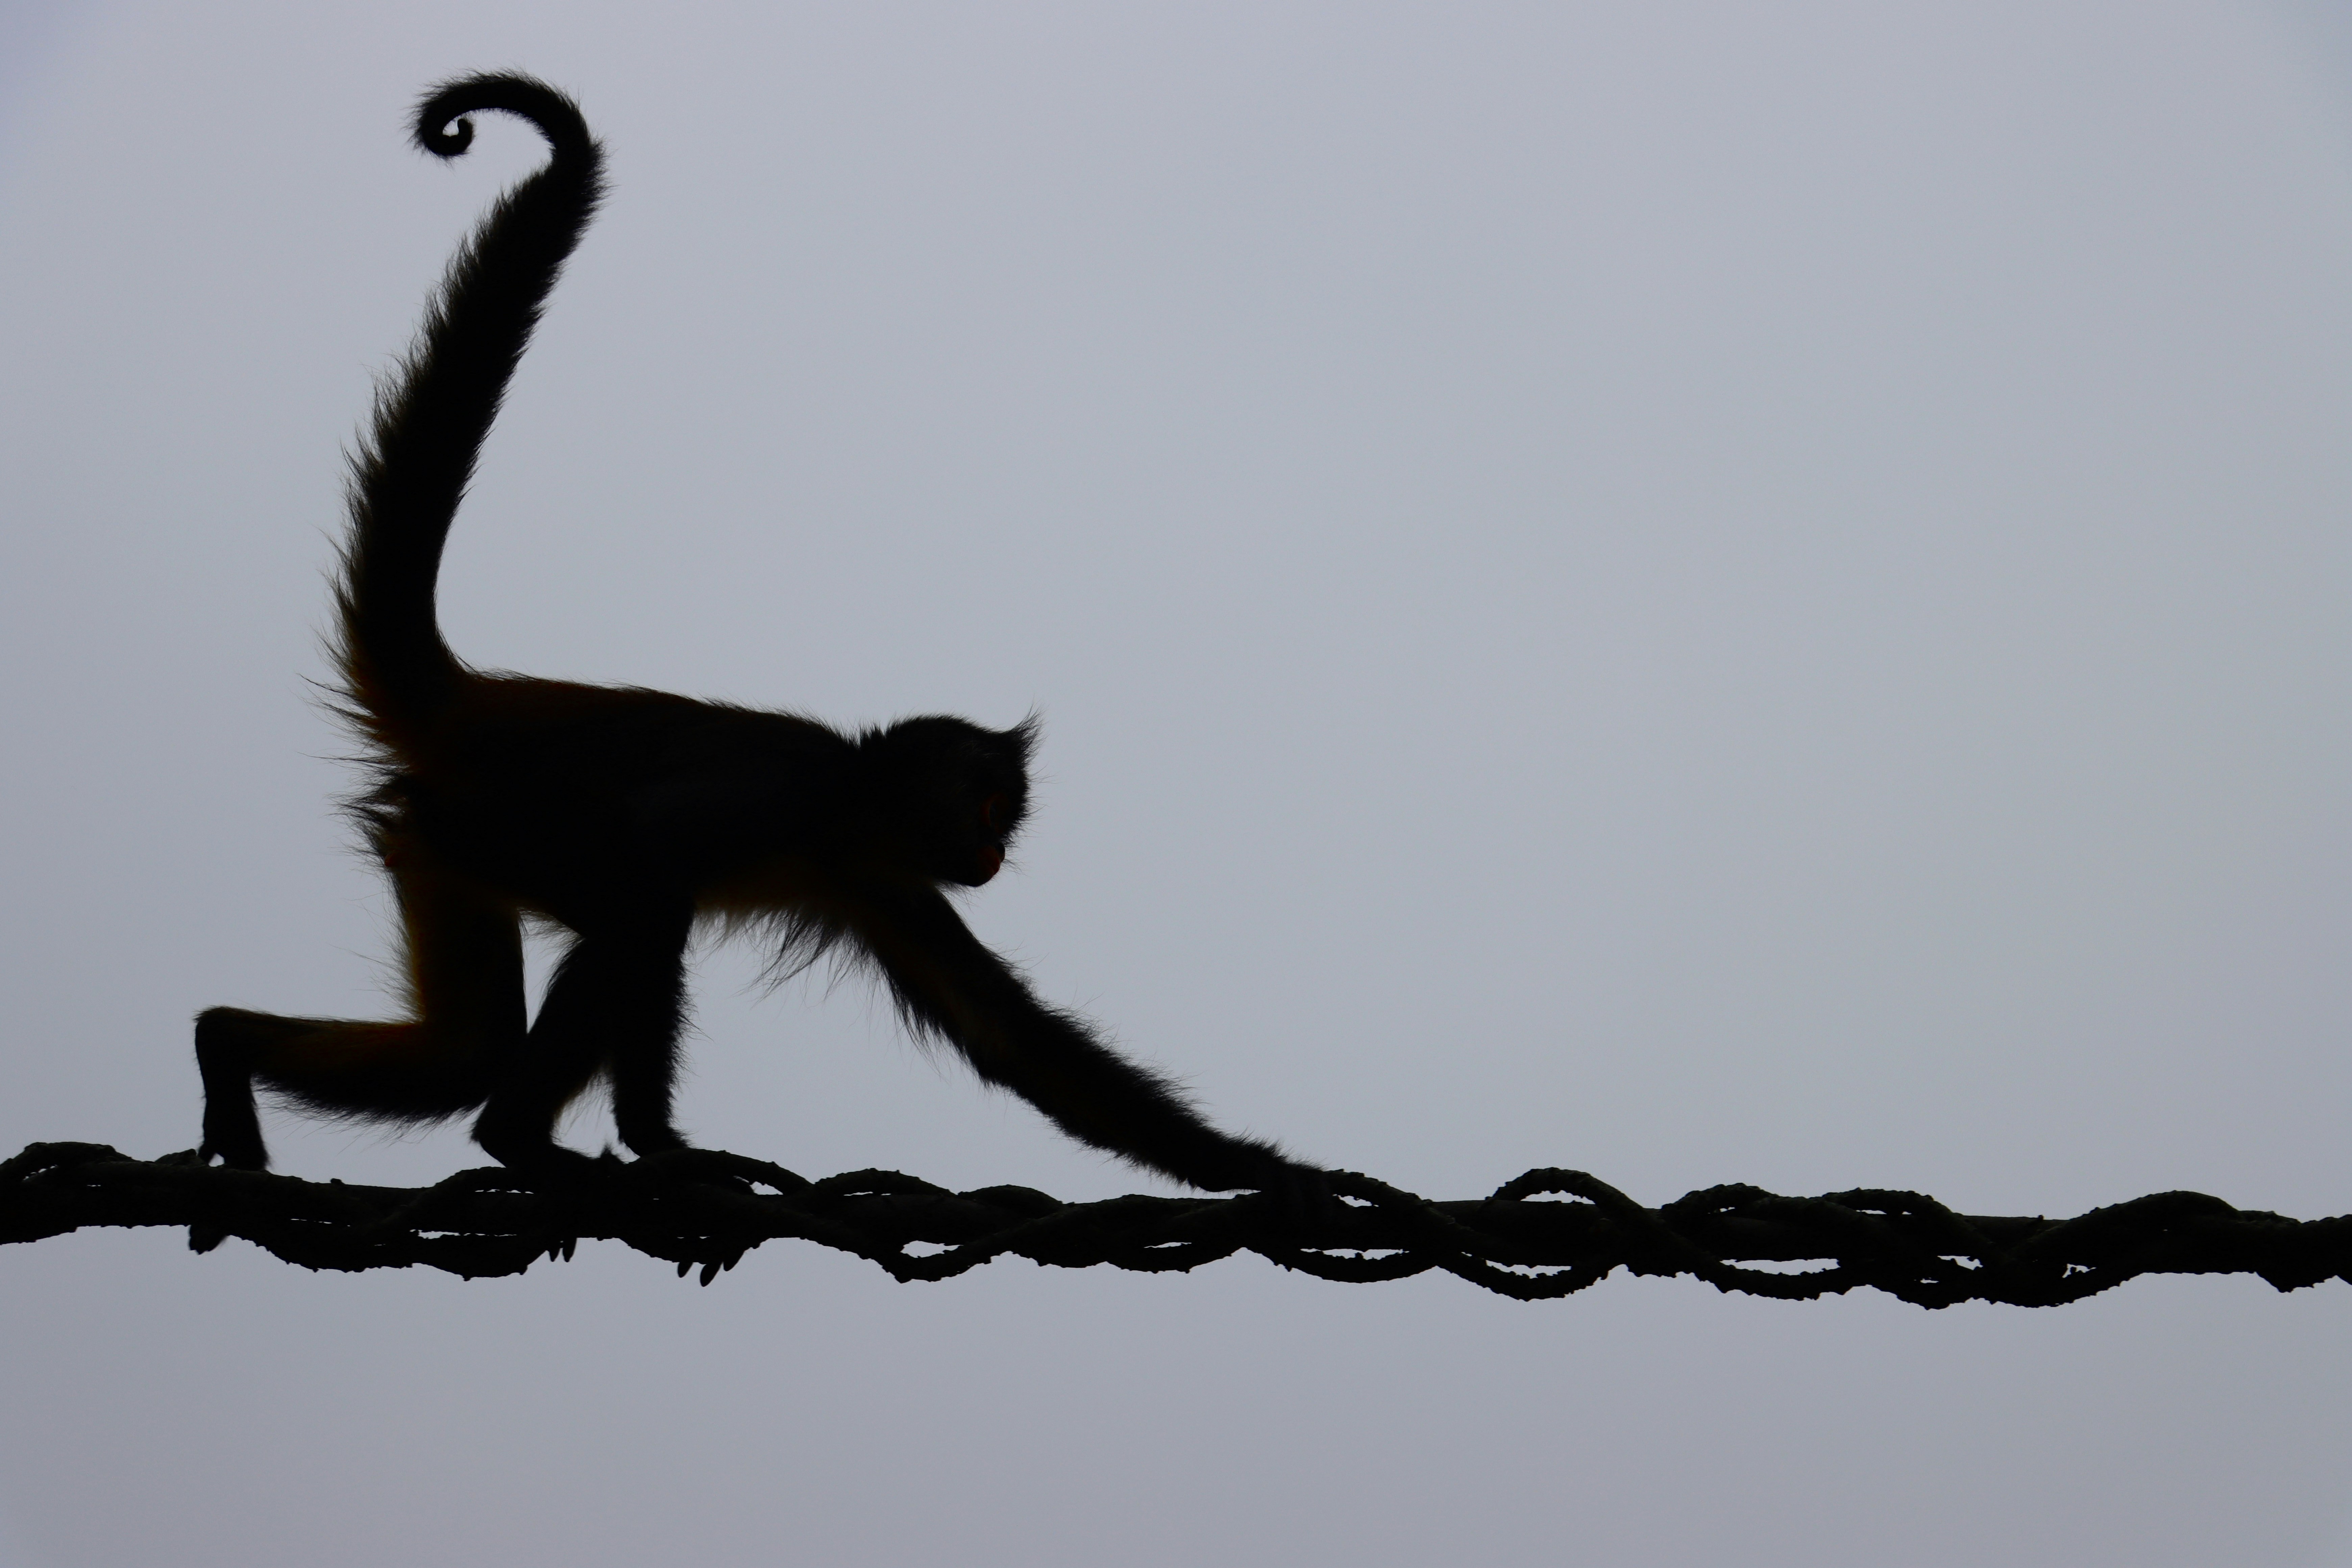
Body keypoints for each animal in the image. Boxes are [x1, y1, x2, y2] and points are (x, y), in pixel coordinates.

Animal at [194, 72, 1310, 1200]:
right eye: (991, 805)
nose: (995, 850)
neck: (846, 805)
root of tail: (475, 705)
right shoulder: (793, 798)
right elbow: (653, 873)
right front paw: (649, 1137)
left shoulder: (882, 879)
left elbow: (1012, 1040)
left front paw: (1273, 1171)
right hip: (504, 822)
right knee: (632, 922)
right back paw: (535, 1136)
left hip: (435, 834)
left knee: (465, 1048)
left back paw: (227, 1041)